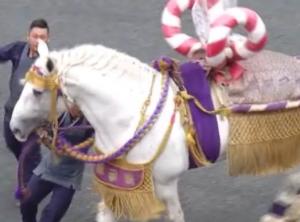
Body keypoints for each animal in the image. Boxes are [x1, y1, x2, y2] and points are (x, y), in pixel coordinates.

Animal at [8, 39, 300, 221]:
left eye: (36, 92)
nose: (14, 127)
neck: (128, 116)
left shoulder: (165, 184)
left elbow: (175, 216)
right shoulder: (119, 187)